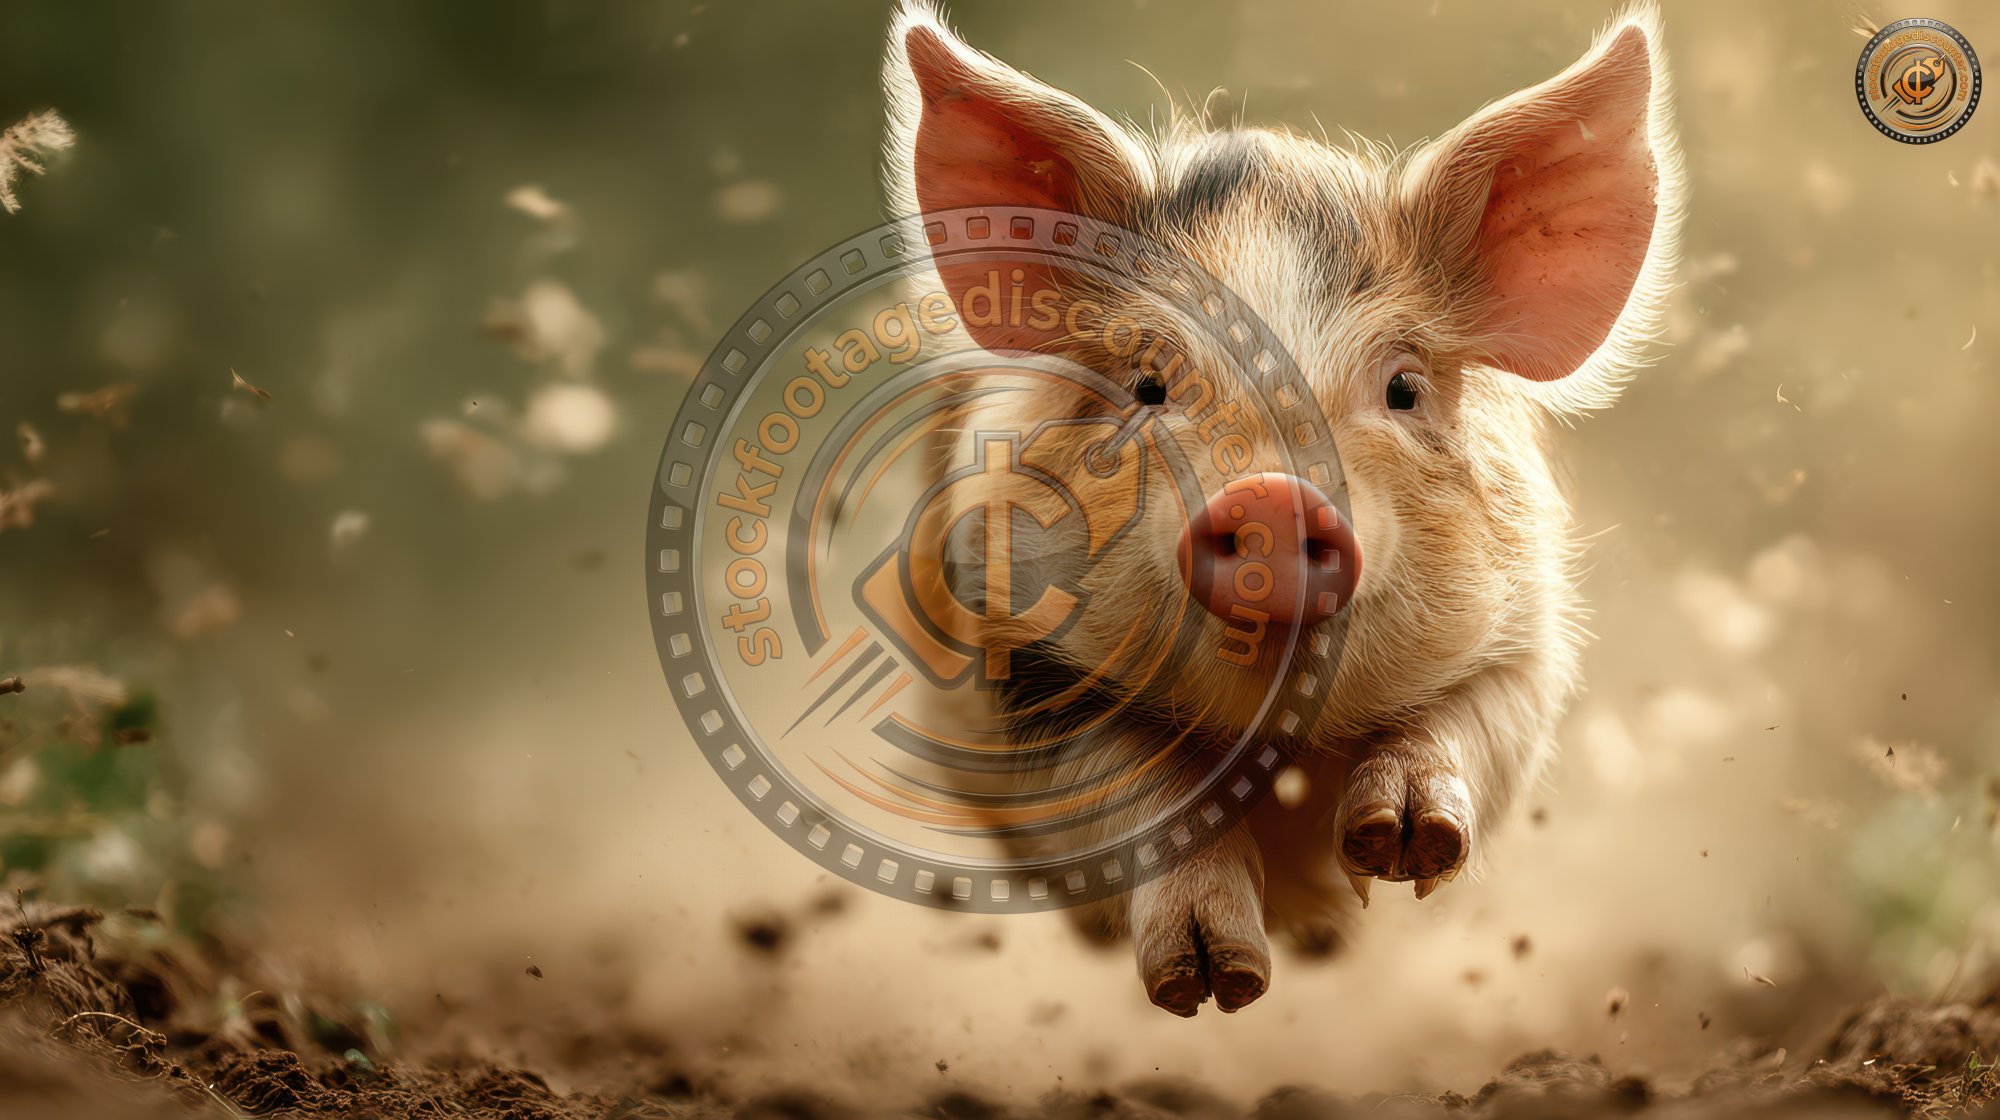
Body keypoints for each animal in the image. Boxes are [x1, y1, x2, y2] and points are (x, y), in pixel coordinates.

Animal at [879, 2, 1683, 1015]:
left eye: (1405, 389)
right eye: (1147, 385)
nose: (1271, 492)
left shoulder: (1526, 642)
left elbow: (1463, 730)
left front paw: (1403, 844)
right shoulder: (1013, 656)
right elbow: (1139, 792)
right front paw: (1212, 987)